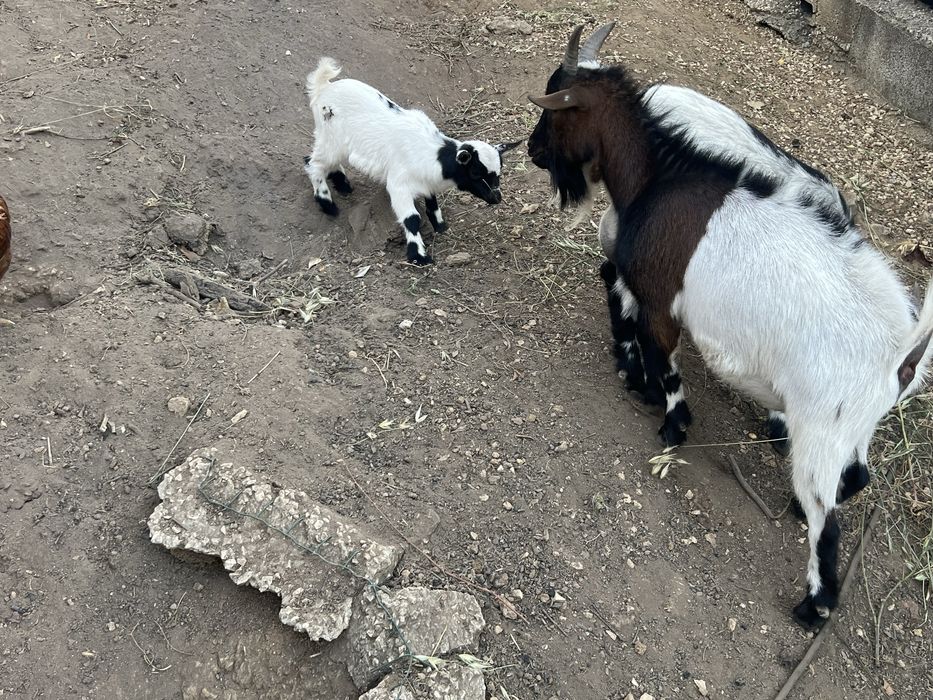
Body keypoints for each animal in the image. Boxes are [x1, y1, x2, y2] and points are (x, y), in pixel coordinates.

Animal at [303, 57, 519, 265]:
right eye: (475, 172)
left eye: (499, 172)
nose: (496, 198)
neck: (433, 154)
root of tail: (323, 87)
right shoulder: (399, 185)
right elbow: (412, 219)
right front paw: (419, 256)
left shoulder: (427, 182)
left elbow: (433, 204)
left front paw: (440, 226)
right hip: (331, 139)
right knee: (312, 163)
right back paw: (327, 203)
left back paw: (343, 185)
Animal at [527, 23, 933, 627]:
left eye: (554, 112)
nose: (532, 150)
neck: (659, 179)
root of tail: (901, 352)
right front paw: (642, 386)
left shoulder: (660, 303)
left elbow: (666, 365)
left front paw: (668, 424)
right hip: (855, 426)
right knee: (854, 477)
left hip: (822, 426)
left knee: (828, 525)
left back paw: (813, 605)